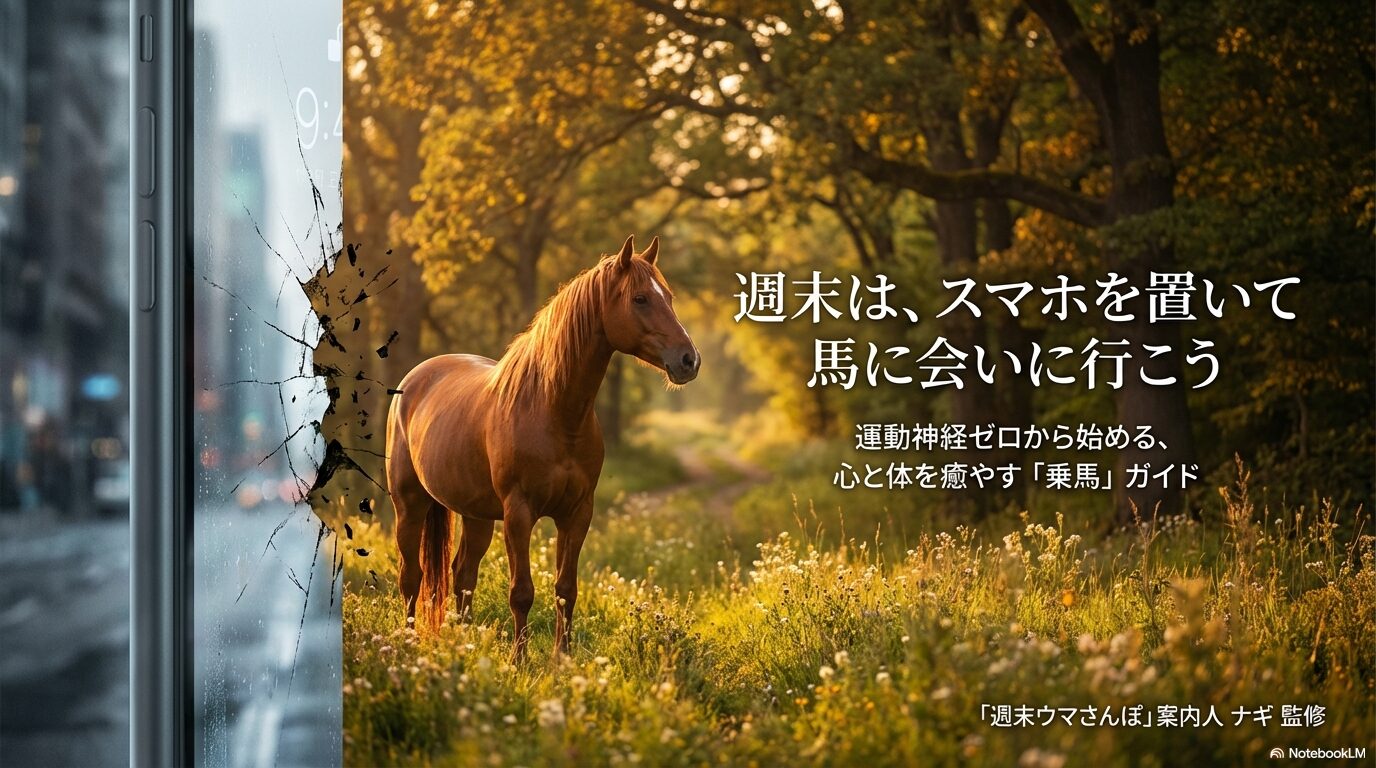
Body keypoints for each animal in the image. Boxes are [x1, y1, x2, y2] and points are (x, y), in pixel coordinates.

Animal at [385, 235, 700, 661]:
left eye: (667, 296)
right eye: (640, 299)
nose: (689, 360)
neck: (553, 411)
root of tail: (416, 378)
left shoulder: (577, 513)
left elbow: (566, 589)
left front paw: (561, 658)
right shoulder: (519, 514)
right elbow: (521, 592)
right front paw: (519, 661)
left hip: (476, 514)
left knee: (463, 572)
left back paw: (464, 644)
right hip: (410, 505)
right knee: (412, 577)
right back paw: (408, 644)